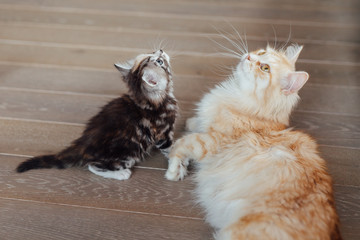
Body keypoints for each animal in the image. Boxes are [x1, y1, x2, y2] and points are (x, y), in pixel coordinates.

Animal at [16, 49, 177, 180]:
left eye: (155, 55)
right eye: (159, 61)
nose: (160, 50)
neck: (147, 100)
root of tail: (82, 146)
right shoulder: (163, 133)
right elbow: (170, 148)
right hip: (128, 155)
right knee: (93, 166)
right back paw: (121, 174)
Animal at [165, 44, 342, 239]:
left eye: (265, 68)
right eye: (262, 52)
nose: (250, 57)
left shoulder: (212, 141)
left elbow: (181, 145)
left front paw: (173, 171)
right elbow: (198, 124)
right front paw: (191, 123)